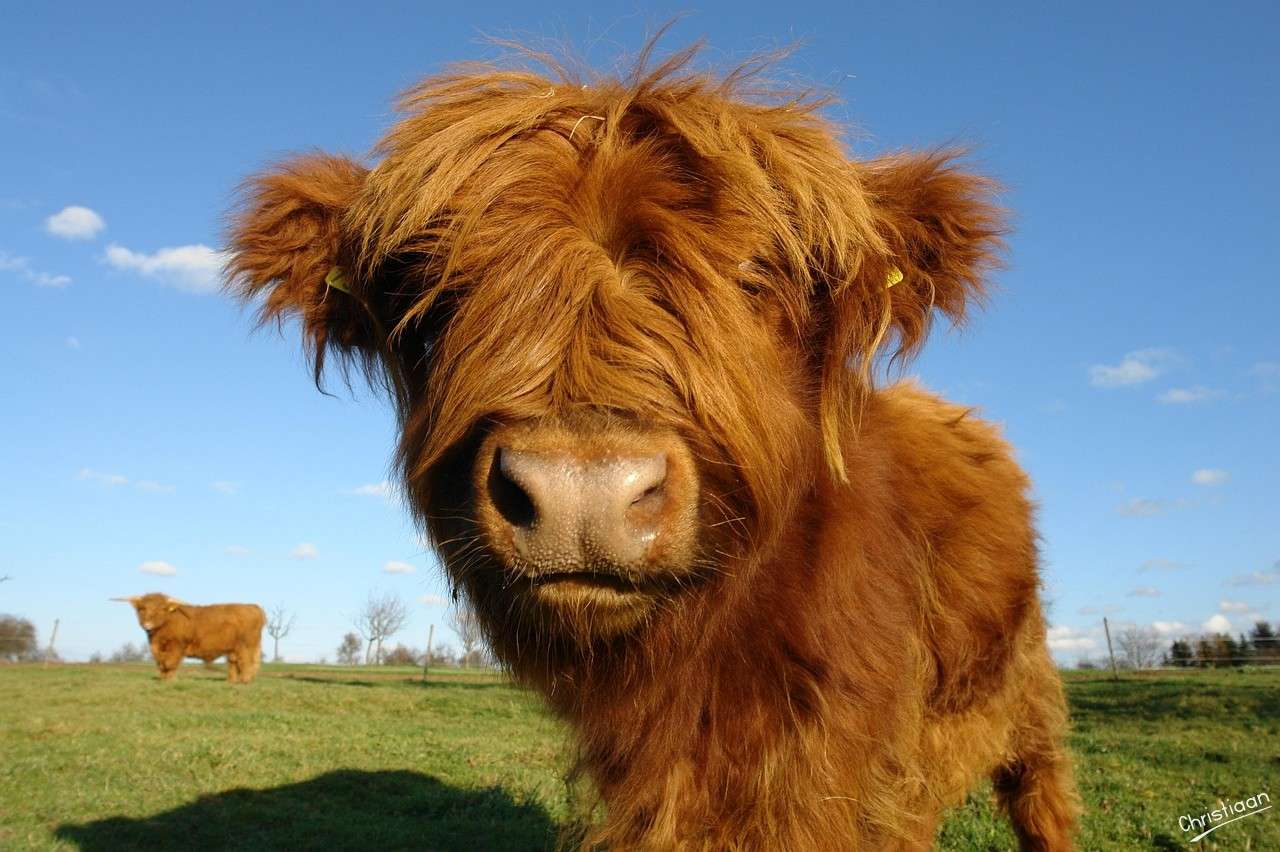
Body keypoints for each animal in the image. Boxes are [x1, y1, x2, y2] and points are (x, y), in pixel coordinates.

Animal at [114, 594, 265, 684]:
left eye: (161, 609)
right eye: (142, 609)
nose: (148, 624)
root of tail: (253, 606)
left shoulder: (176, 646)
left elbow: (169, 663)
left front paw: (170, 680)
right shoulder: (156, 648)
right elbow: (161, 663)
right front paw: (163, 679)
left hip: (247, 645)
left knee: (246, 662)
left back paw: (245, 681)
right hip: (234, 648)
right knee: (234, 663)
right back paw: (231, 681)